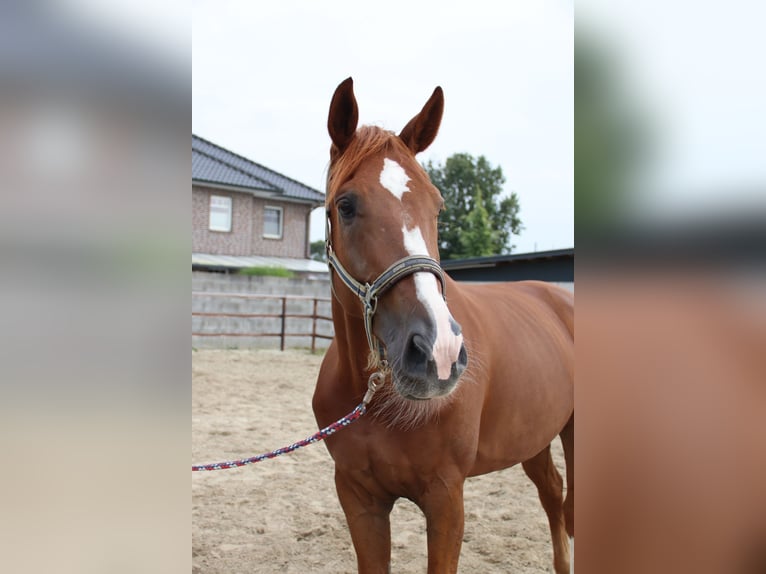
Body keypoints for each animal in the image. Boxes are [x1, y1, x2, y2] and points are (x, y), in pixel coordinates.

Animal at [312, 77, 574, 574]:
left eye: (437, 206)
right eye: (346, 205)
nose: (438, 352)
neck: (376, 399)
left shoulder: (446, 499)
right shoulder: (359, 499)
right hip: (534, 437)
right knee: (554, 495)